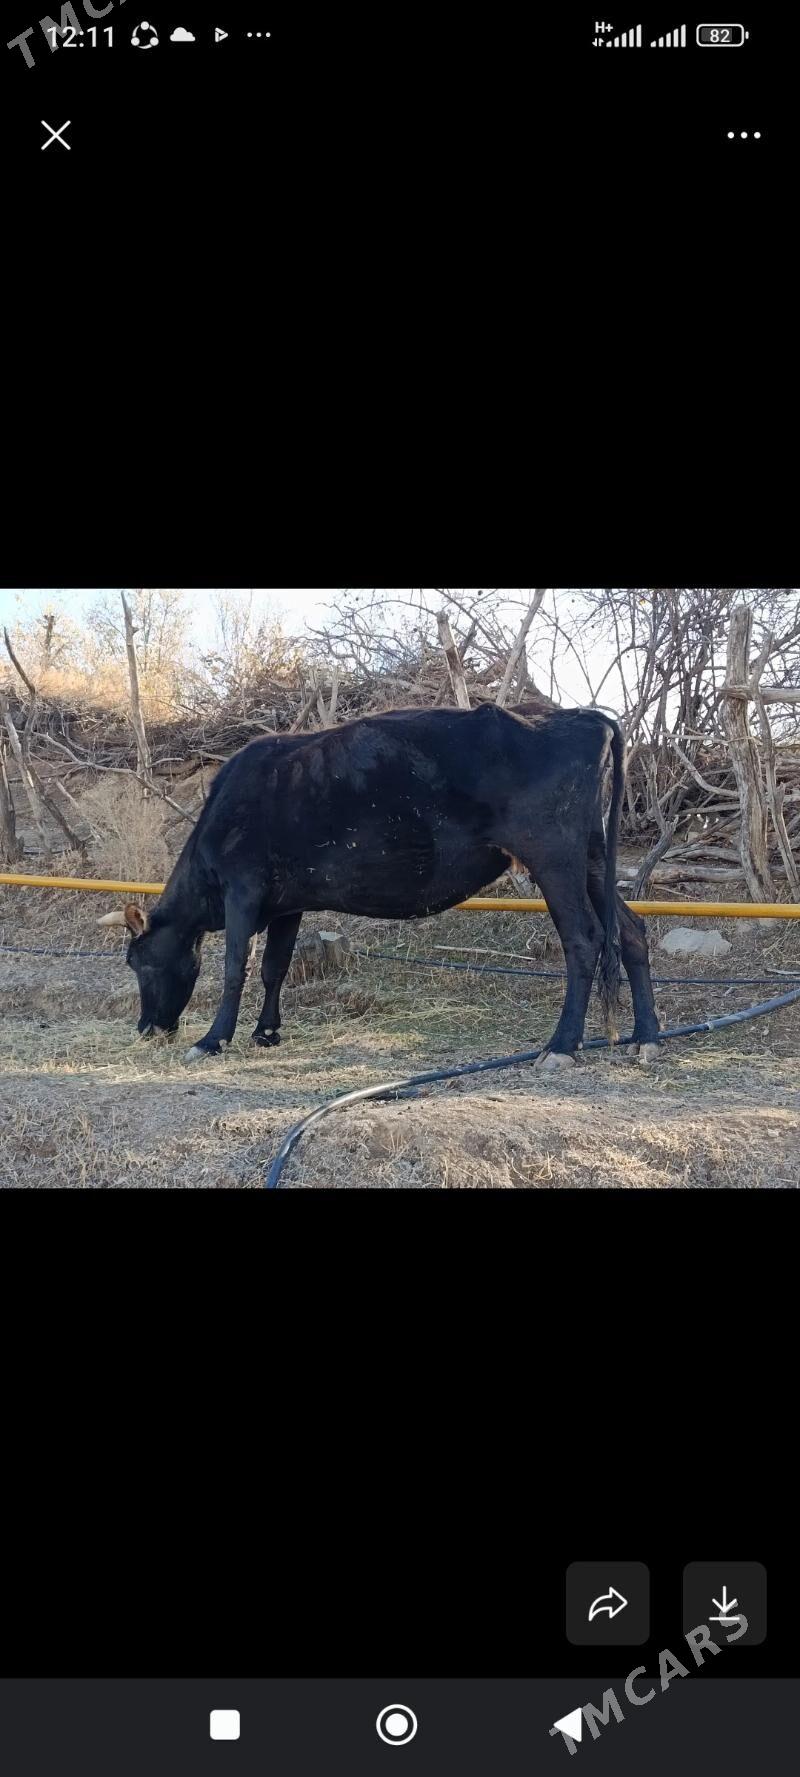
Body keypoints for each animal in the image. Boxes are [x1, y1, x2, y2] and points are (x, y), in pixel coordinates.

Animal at [97, 702, 661, 1068]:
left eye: (139, 962)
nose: (147, 1030)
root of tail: (584, 716)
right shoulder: (286, 903)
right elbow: (276, 968)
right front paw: (267, 1032)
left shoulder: (244, 888)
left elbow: (237, 966)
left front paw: (214, 1040)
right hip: (592, 857)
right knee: (631, 931)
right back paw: (647, 1037)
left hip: (553, 856)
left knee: (584, 939)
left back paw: (561, 1046)